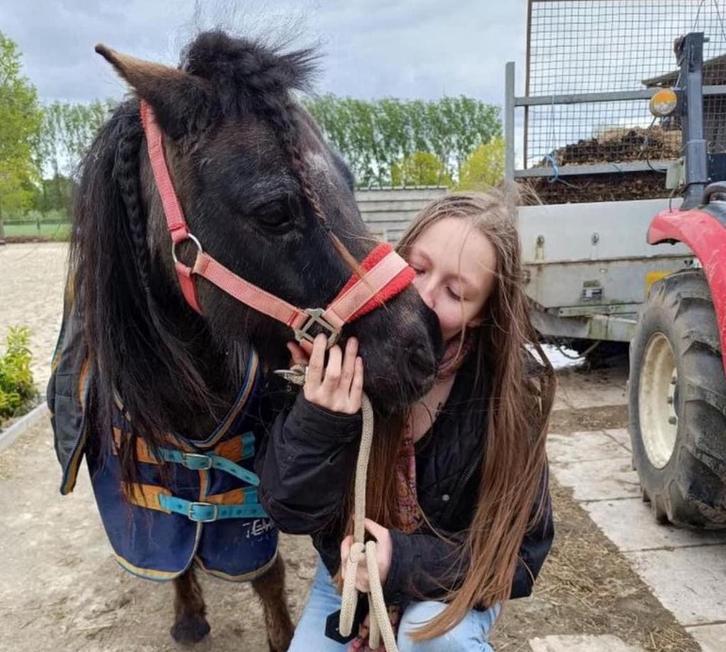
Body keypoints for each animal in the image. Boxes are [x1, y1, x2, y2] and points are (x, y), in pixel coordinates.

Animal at [49, 29, 440, 650]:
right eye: (275, 210)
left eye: (349, 181)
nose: (421, 344)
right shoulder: (139, 487)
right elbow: (172, 556)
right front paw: (188, 615)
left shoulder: (248, 492)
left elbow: (264, 570)